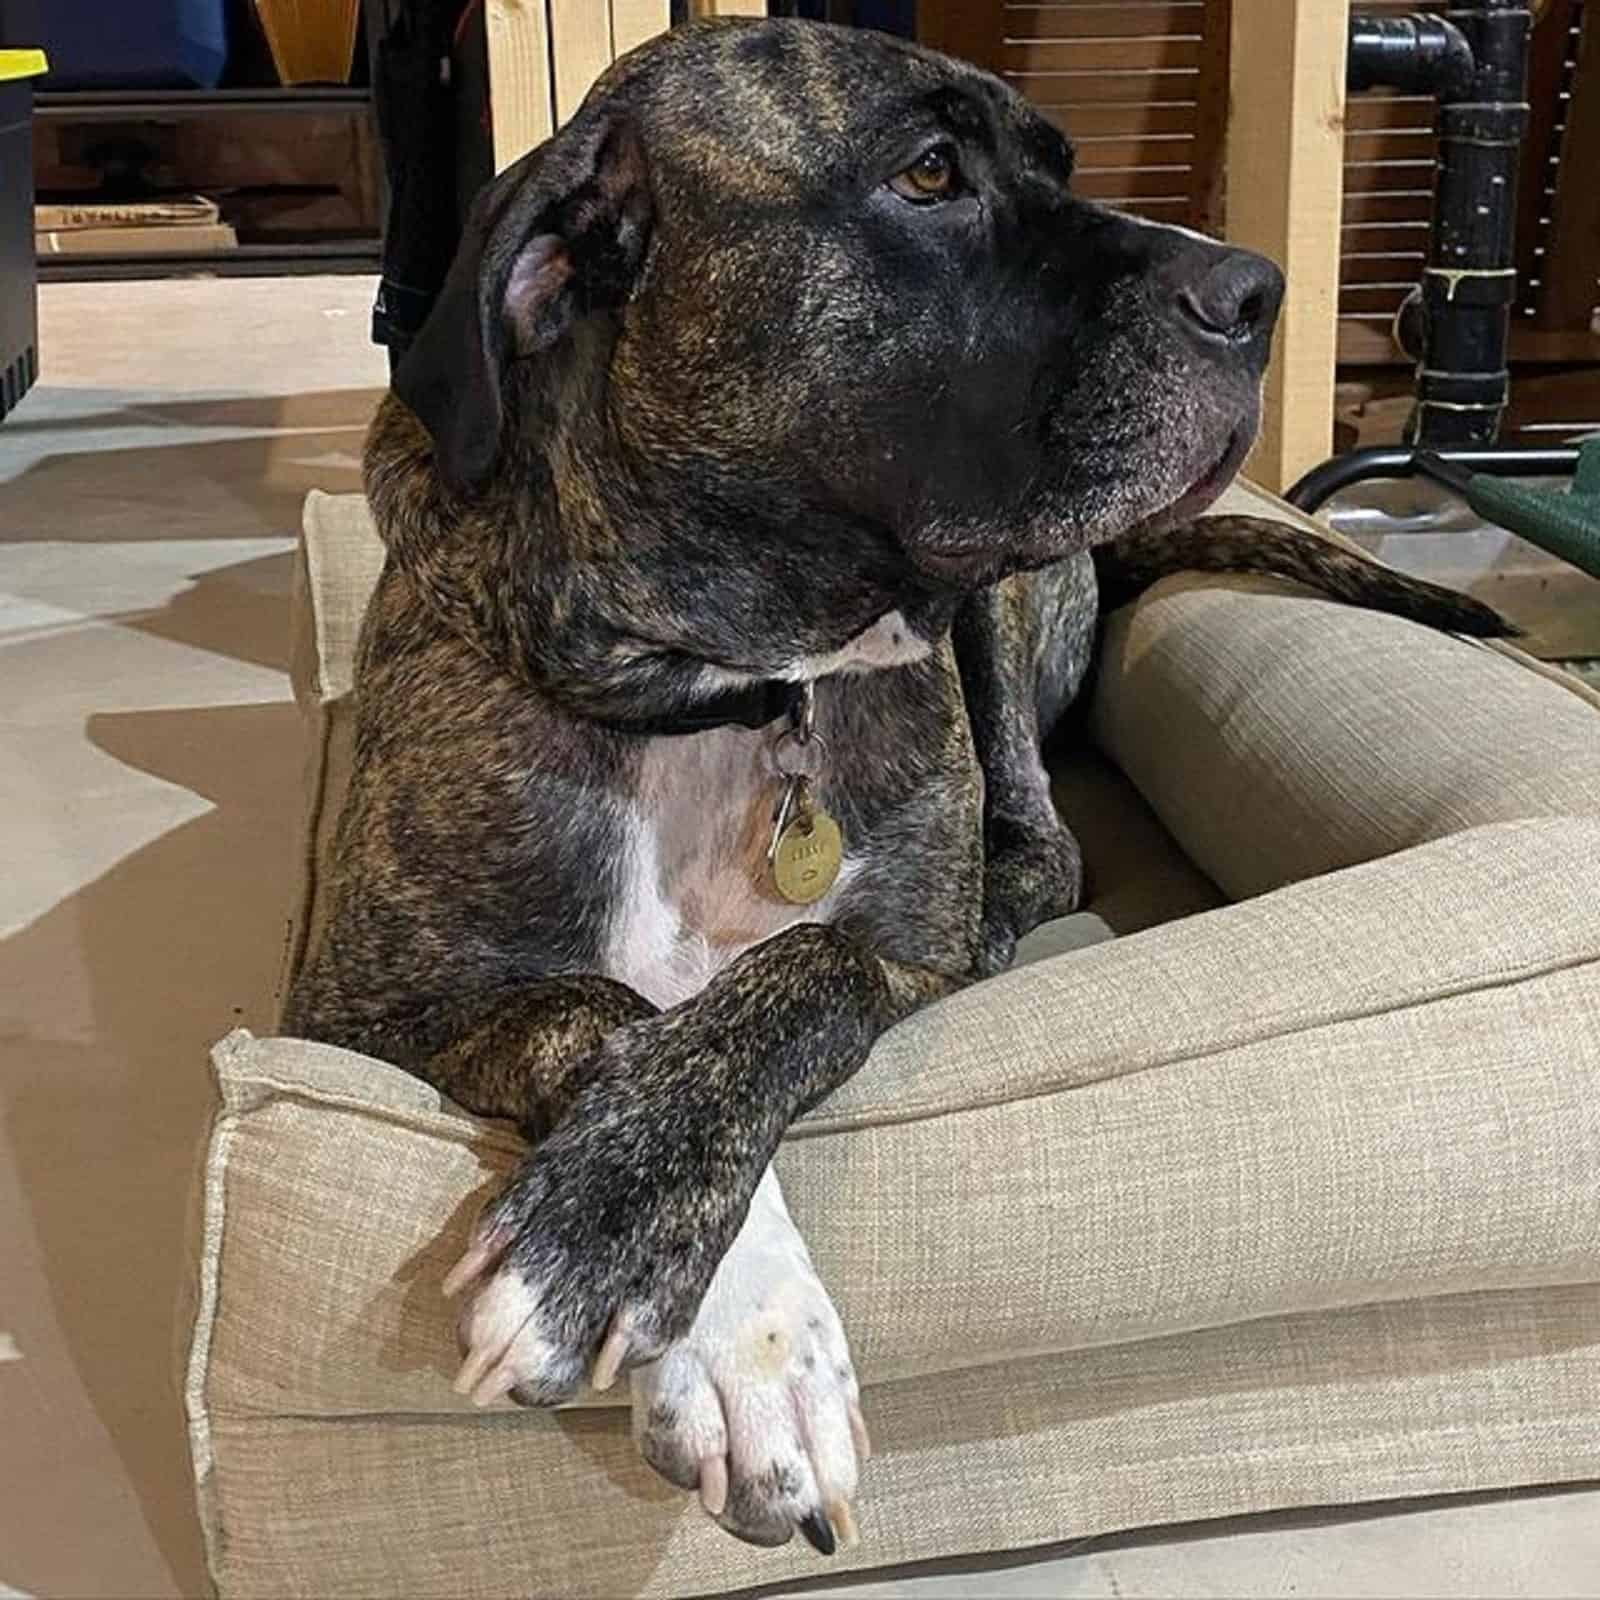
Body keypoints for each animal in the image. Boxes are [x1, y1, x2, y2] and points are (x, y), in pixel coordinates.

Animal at [291, 15, 1510, 1561]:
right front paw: (698, 1299)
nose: (1258, 288)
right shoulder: (367, 1012)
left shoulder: (895, 945)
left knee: (1039, 842)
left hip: (1001, 627)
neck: (729, 683)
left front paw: (658, 1265)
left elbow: (794, 979)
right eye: (928, 172)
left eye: (1057, 164)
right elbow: (600, 1003)